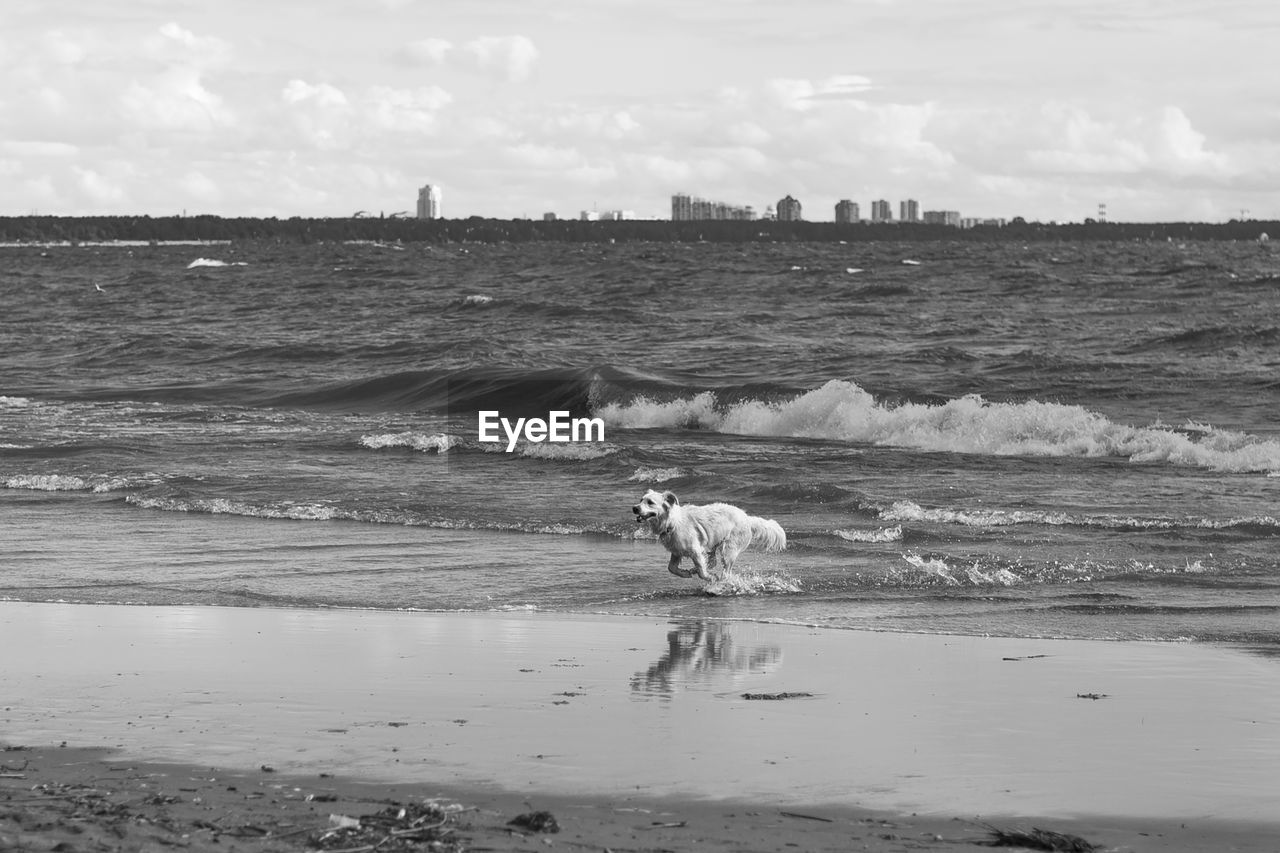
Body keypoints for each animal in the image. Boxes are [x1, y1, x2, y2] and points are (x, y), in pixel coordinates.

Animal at [632, 489, 783, 581]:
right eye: (640, 500)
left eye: (650, 502)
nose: (634, 508)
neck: (672, 522)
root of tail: (747, 518)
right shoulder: (677, 550)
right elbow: (671, 568)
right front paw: (685, 573)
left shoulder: (695, 550)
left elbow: (701, 571)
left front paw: (710, 578)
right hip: (714, 542)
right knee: (712, 561)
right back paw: (694, 570)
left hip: (729, 548)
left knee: (725, 570)